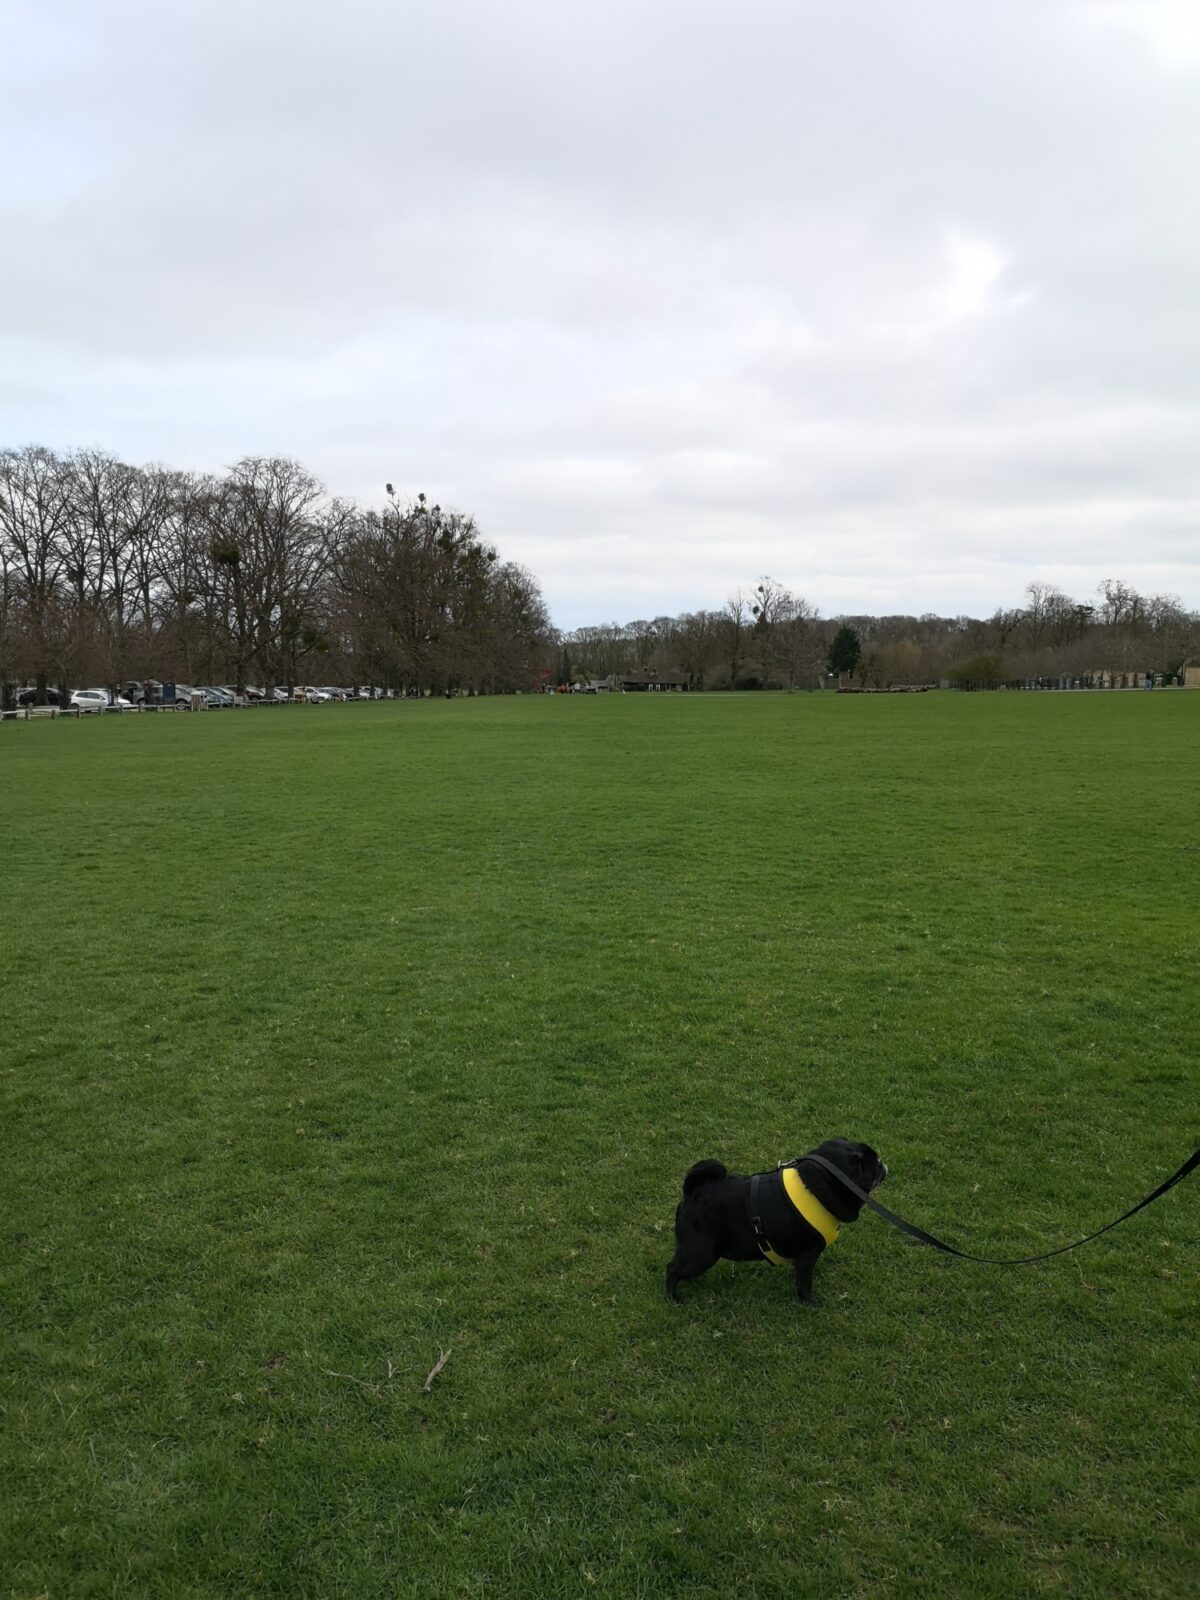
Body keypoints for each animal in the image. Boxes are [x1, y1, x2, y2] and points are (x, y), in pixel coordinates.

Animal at [672, 1132, 889, 1305]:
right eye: (875, 1168)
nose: (883, 1164)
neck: (818, 1185)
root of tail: (694, 1190)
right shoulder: (806, 1256)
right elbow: (804, 1283)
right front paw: (809, 1303)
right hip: (702, 1253)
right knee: (672, 1269)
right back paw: (673, 1298)